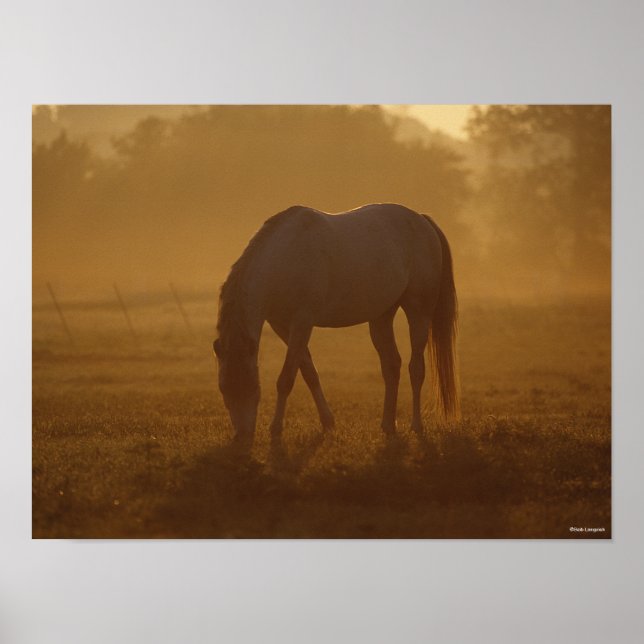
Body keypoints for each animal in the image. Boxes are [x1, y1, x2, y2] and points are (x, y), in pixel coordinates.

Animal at [213, 203, 459, 444]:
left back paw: (416, 425)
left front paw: (276, 429)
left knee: (416, 368)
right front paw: (328, 422)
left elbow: (287, 378)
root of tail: (422, 219)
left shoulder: (302, 322)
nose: (242, 434)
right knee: (391, 366)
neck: (287, 258)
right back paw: (388, 425)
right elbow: (309, 372)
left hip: (419, 312)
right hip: (381, 317)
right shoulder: (281, 325)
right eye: (223, 387)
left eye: (254, 386)